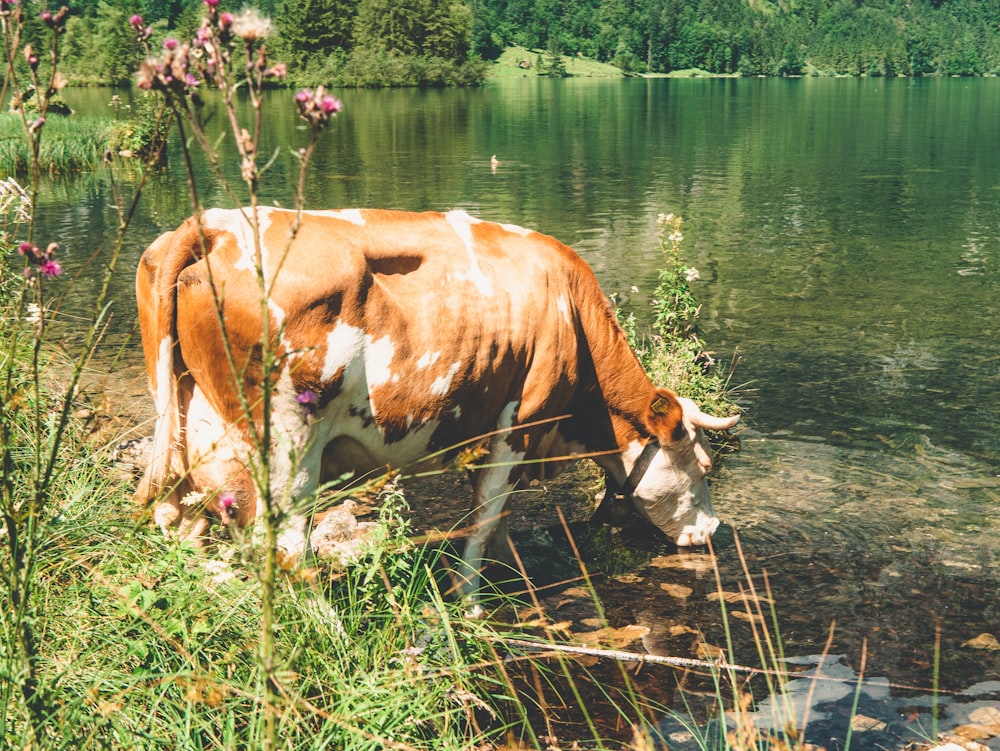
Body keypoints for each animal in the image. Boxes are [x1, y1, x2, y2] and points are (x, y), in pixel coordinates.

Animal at [135, 209, 736, 596]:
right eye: (705, 465)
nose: (710, 533)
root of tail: (214, 225)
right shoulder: (516, 427)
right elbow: (485, 518)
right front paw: (469, 602)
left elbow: (498, 522)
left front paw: (511, 579)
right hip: (287, 448)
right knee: (284, 546)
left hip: (190, 424)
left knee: (184, 518)